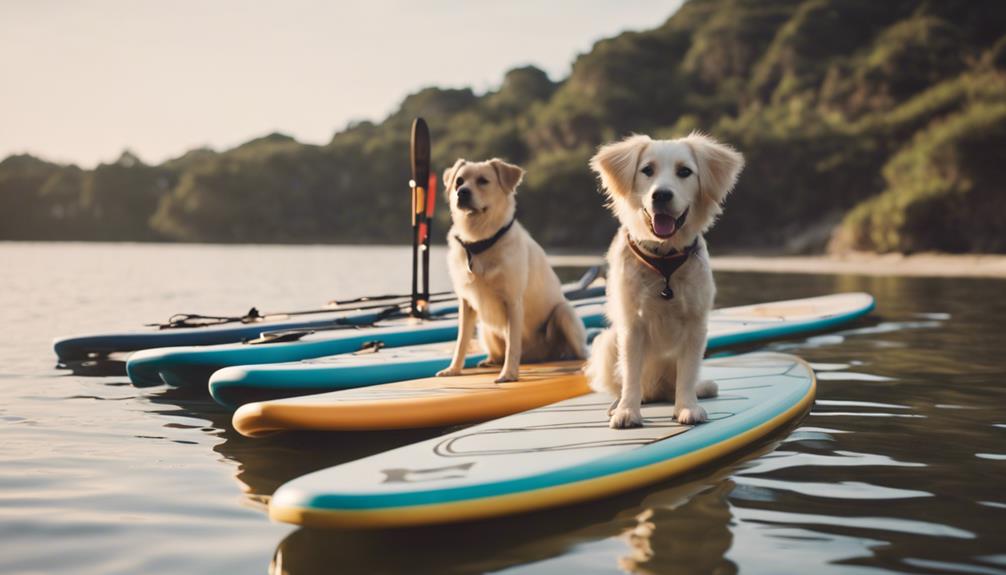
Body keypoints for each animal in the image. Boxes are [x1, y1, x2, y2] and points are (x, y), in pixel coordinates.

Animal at [434, 158, 587, 381]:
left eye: (483, 181)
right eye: (459, 181)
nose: (461, 192)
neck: (479, 242)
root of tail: (537, 357)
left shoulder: (512, 301)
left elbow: (512, 344)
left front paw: (508, 374)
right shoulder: (466, 302)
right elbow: (461, 341)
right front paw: (453, 369)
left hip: (564, 313)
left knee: (579, 350)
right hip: (484, 327)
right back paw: (489, 360)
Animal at [587, 131, 744, 426]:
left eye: (685, 172)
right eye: (647, 170)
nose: (661, 194)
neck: (663, 258)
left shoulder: (696, 324)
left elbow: (687, 373)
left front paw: (688, 408)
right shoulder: (631, 326)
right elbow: (631, 374)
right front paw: (627, 411)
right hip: (606, 342)